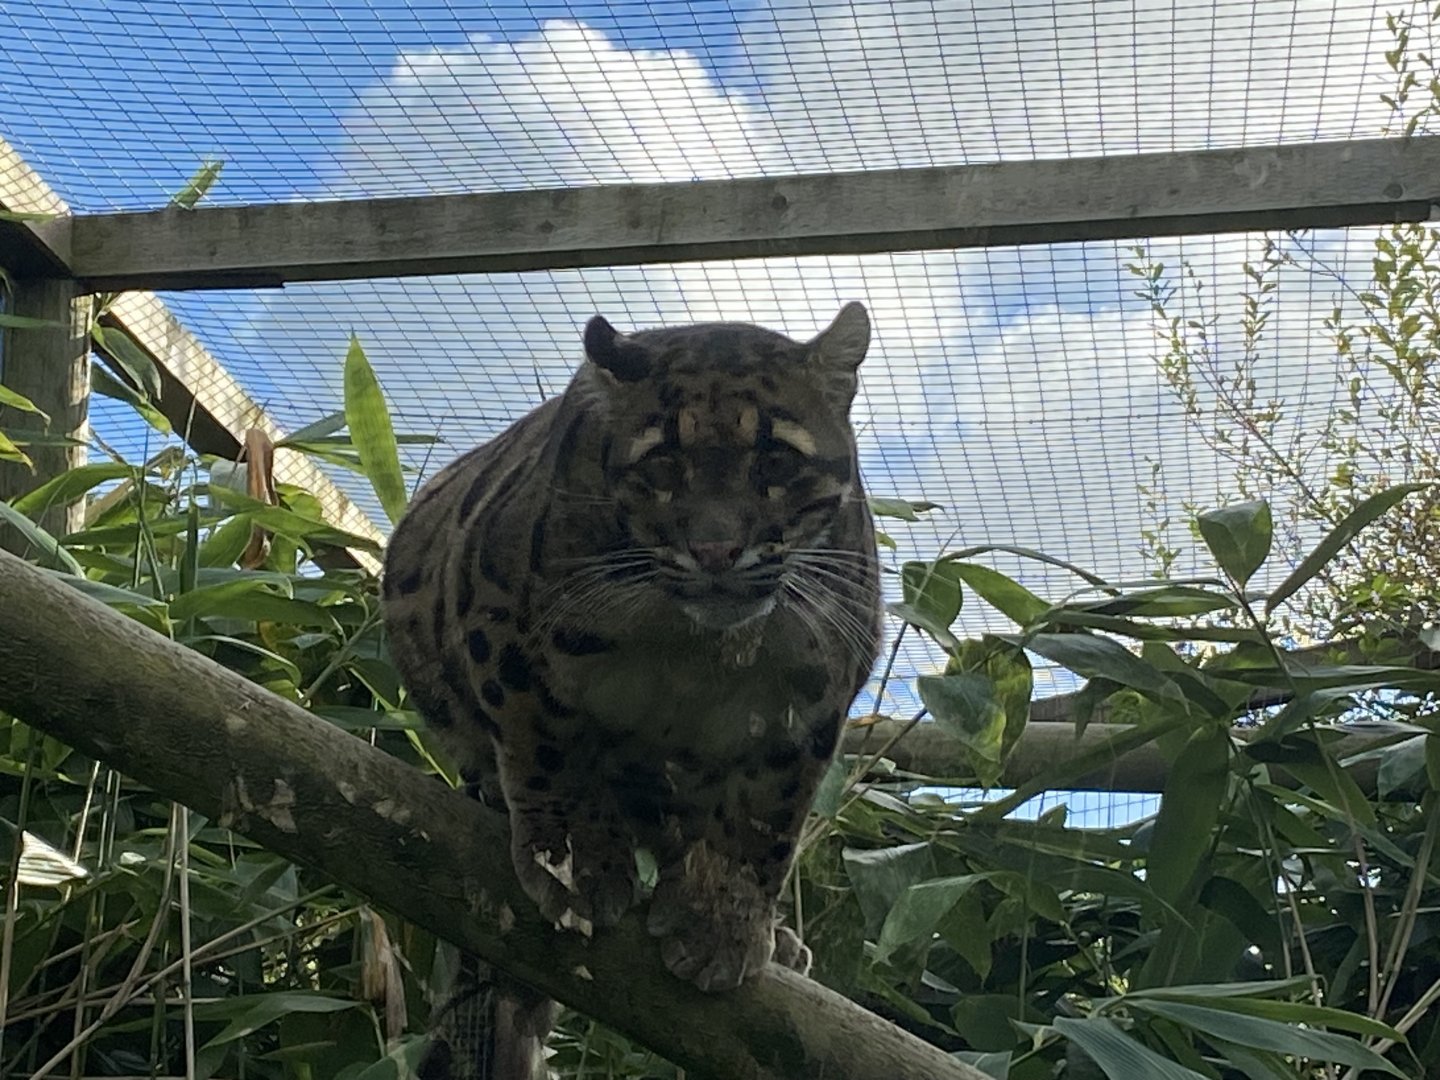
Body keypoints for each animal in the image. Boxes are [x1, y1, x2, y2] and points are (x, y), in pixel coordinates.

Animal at [382, 302, 883, 1076]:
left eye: (775, 461)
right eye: (664, 464)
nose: (715, 550)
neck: (693, 644)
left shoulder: (813, 693)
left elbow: (762, 819)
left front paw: (721, 925)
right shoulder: (502, 631)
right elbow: (551, 753)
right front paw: (577, 862)